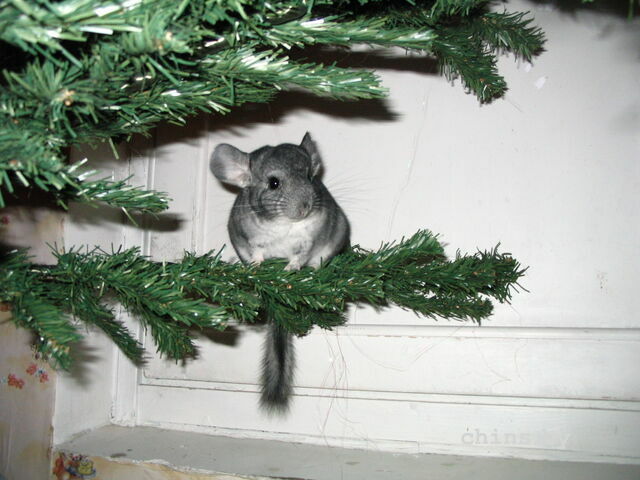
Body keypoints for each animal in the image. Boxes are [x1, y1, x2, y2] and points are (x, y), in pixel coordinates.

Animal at [210, 132, 350, 411]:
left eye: (310, 177)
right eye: (273, 183)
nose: (305, 207)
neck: (284, 224)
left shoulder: (307, 244)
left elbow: (299, 257)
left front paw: (290, 269)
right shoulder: (251, 241)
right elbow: (258, 254)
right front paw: (256, 268)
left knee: (317, 263)